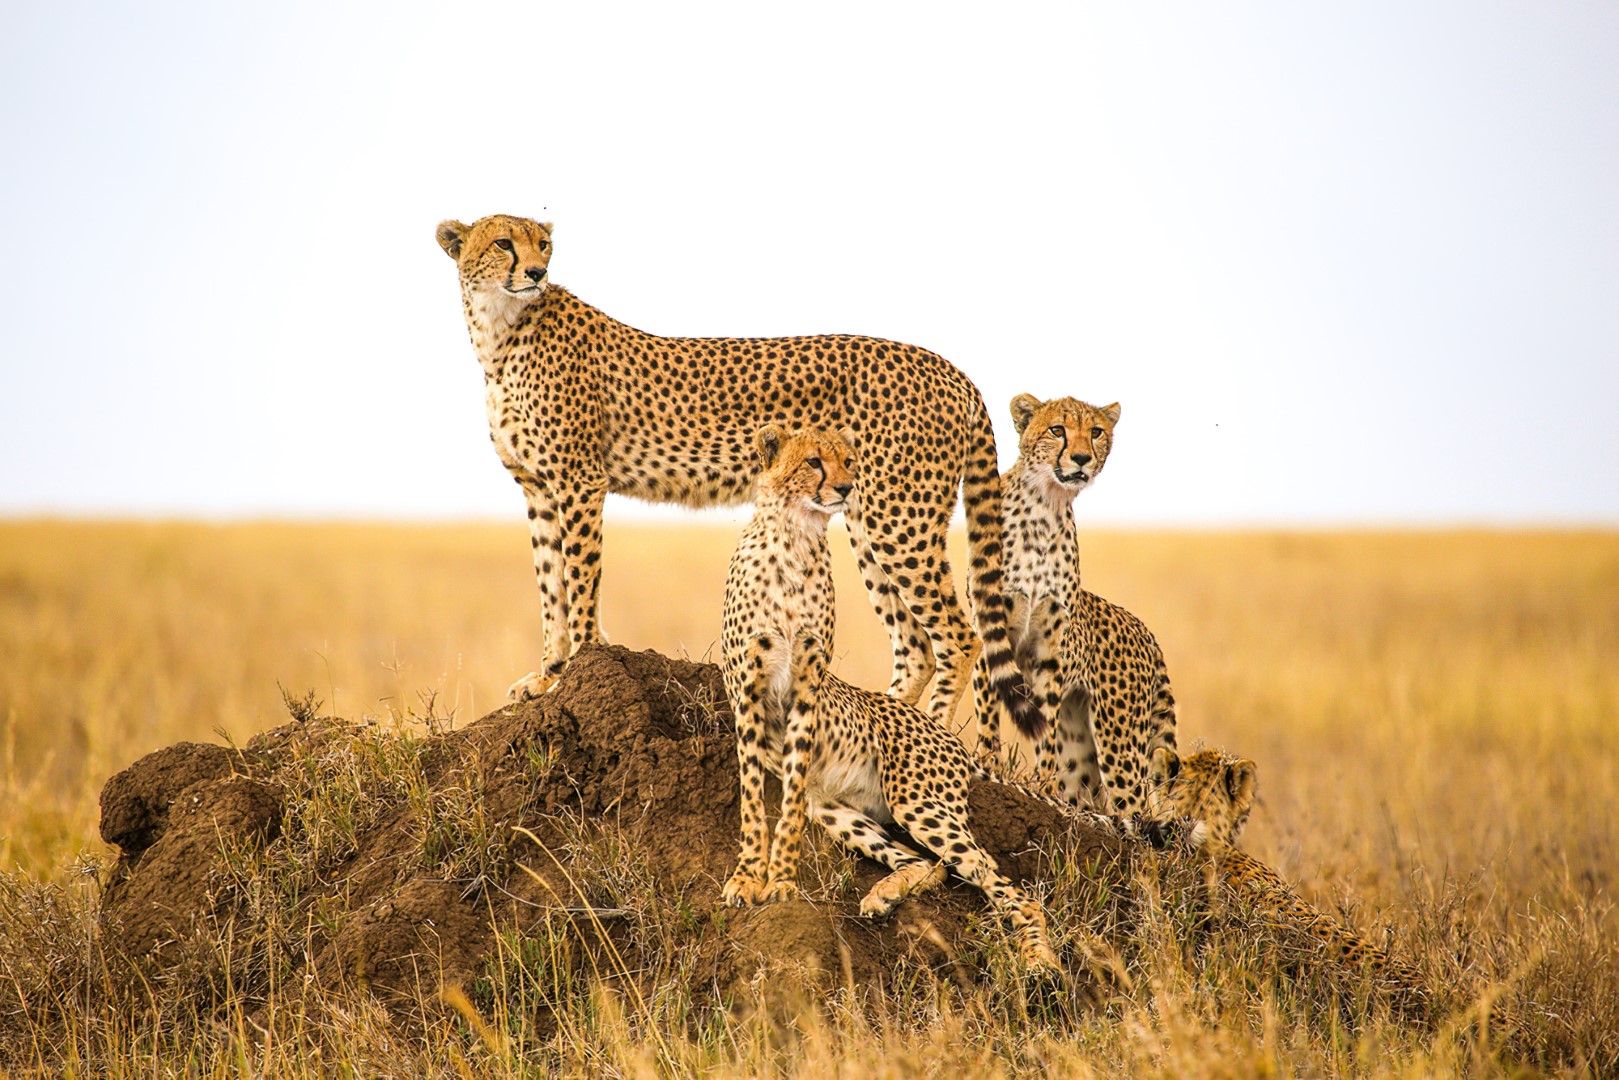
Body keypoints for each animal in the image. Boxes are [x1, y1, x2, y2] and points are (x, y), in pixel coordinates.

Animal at [433, 215, 1036, 738]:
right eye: (504, 242)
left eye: (543, 245)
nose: (536, 272)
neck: (500, 330)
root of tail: (950, 368)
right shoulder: (537, 487)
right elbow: (549, 586)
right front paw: (548, 674)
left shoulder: (579, 480)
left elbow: (579, 582)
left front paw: (575, 669)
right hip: (868, 517)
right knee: (916, 645)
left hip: (899, 519)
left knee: (958, 635)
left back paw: (931, 734)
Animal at [722, 427, 1062, 977]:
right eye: (813, 461)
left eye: (848, 460)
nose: (846, 488)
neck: (794, 537)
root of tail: (943, 733)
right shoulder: (749, 693)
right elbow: (754, 798)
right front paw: (747, 879)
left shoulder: (806, 689)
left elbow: (787, 806)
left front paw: (781, 883)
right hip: (836, 809)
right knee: (929, 864)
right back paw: (883, 896)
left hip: (919, 803)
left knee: (1002, 883)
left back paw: (1039, 960)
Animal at [971, 395, 1178, 809]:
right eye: (1057, 429)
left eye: (1096, 432)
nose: (1081, 458)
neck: (1045, 507)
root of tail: (1146, 631)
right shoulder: (990, 629)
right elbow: (988, 713)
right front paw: (987, 765)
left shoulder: (1050, 650)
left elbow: (1044, 725)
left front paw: (1043, 786)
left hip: (1118, 739)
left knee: (1134, 805)